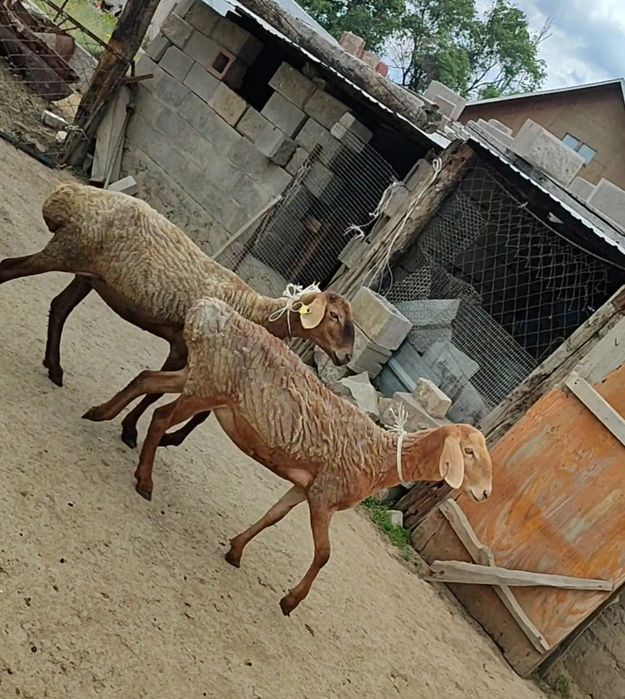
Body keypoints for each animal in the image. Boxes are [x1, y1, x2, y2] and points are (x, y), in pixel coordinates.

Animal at [0, 181, 355, 448]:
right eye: (334, 316)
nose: (346, 356)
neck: (250, 307)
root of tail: (66, 194)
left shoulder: (193, 355)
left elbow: (172, 398)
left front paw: (140, 430)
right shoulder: (185, 349)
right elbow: (158, 392)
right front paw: (134, 430)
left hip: (87, 272)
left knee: (60, 306)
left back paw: (54, 368)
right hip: (64, 250)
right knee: (8, 269)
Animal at [83, 297, 493, 616]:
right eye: (469, 452)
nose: (486, 494)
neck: (379, 457)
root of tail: (207, 311)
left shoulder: (305, 487)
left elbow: (272, 517)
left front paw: (236, 550)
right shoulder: (324, 497)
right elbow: (324, 554)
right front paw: (290, 601)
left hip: (197, 376)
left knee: (146, 378)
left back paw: (101, 413)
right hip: (206, 387)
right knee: (160, 416)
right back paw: (144, 479)